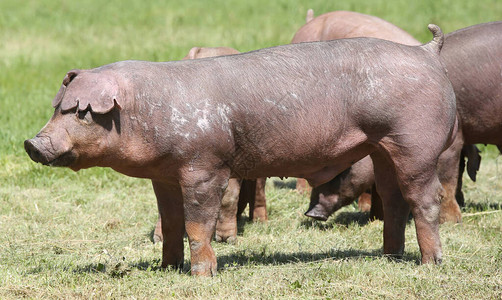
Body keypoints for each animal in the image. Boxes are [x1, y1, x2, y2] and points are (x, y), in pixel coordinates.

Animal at [23, 24, 454, 276]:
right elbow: (171, 222)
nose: (32, 143)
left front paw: (202, 276)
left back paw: (430, 265)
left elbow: (198, 224)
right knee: (394, 200)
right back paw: (390, 257)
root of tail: (427, 52)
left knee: (425, 198)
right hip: (382, 149)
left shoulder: (205, 166)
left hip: (416, 143)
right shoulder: (163, 175)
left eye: (82, 112)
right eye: (57, 108)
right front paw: (167, 269)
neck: (150, 110)